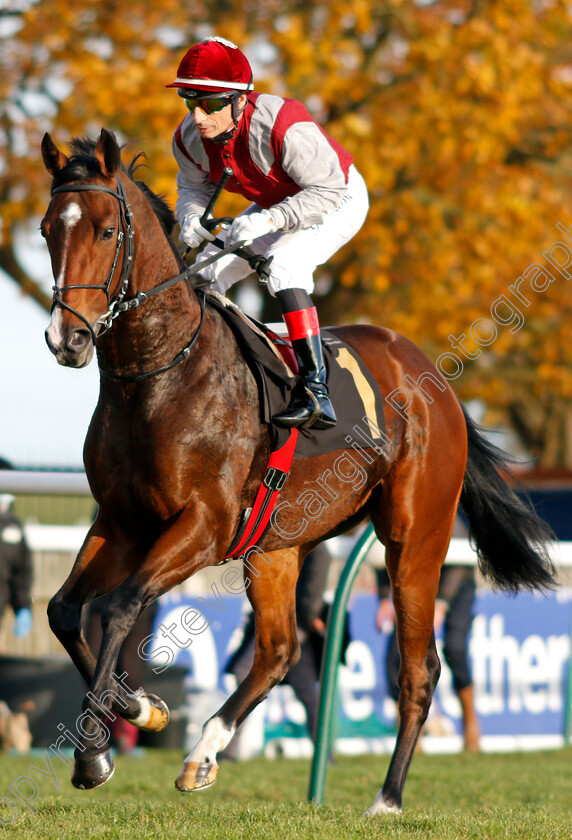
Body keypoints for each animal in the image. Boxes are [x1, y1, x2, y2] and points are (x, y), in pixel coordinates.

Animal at [36, 128, 556, 812]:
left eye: (103, 231)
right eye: (47, 230)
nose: (65, 340)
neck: (158, 377)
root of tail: (434, 382)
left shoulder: (203, 525)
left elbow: (121, 606)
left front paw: (95, 753)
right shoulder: (122, 523)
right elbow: (65, 611)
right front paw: (141, 708)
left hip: (415, 539)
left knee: (419, 668)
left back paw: (387, 796)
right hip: (277, 546)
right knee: (280, 651)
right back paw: (204, 750)